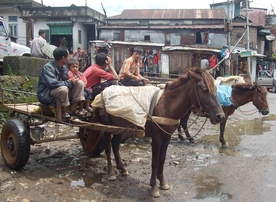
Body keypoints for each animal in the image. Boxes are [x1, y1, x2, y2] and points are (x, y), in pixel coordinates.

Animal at [92, 68, 224, 197]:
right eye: (204, 90)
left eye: (215, 89)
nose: (220, 116)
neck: (166, 106)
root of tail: (102, 92)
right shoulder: (156, 138)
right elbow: (155, 161)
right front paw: (154, 187)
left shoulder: (167, 137)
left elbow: (162, 158)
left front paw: (162, 182)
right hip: (107, 127)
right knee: (108, 147)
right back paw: (111, 173)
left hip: (120, 127)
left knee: (115, 144)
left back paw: (123, 169)